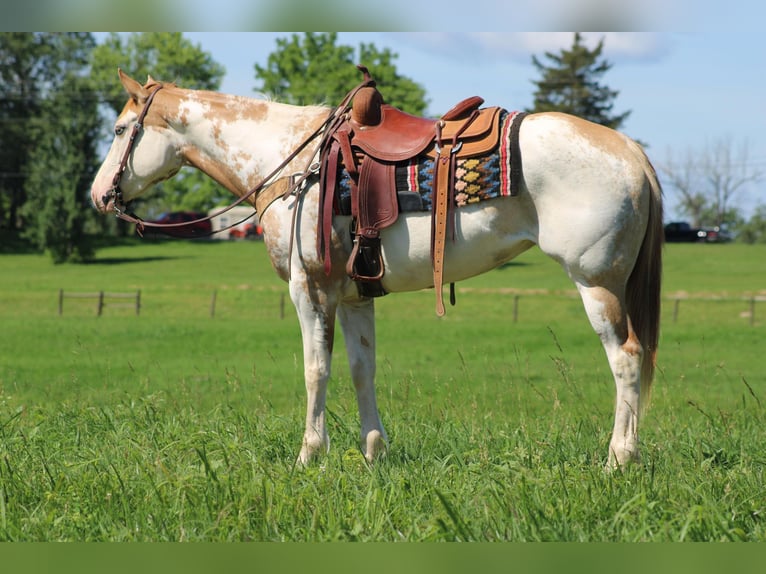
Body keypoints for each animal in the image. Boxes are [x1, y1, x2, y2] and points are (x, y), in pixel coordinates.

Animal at [91, 70, 664, 470]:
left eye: (119, 129)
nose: (99, 196)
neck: (294, 163)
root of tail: (631, 151)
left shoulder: (311, 290)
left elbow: (315, 370)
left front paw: (310, 454)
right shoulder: (353, 296)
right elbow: (360, 369)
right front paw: (374, 452)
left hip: (597, 284)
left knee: (627, 359)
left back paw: (619, 459)